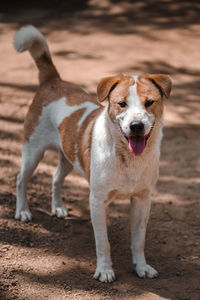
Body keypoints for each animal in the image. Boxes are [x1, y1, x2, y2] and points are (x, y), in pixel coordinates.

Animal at [13, 25, 172, 282]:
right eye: (121, 104)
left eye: (150, 102)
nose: (136, 126)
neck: (127, 158)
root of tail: (53, 80)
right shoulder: (97, 201)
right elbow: (103, 242)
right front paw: (105, 270)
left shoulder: (142, 199)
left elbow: (138, 241)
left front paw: (141, 267)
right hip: (33, 152)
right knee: (20, 179)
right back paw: (23, 212)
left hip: (68, 156)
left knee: (55, 178)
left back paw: (57, 207)